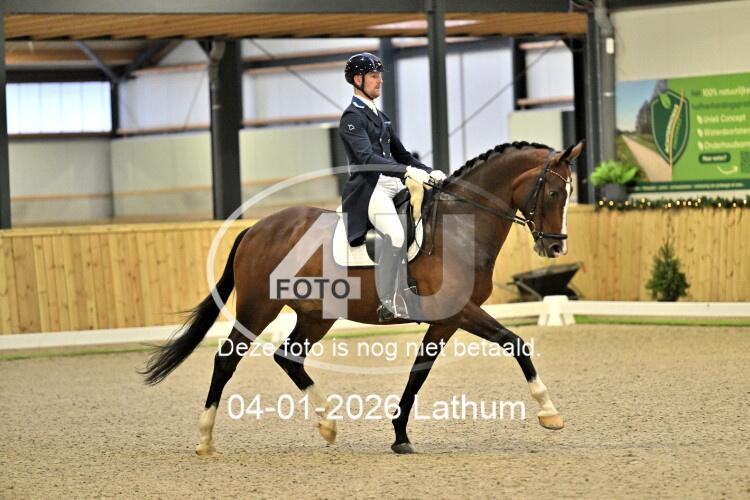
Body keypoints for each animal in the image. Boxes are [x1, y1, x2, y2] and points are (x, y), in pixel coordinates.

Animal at [141, 140, 584, 455]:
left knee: (289, 357)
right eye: (553, 193)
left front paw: (400, 435)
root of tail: (256, 228)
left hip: (316, 315)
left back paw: (327, 424)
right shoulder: (462, 311)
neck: (460, 229)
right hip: (258, 308)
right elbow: (517, 343)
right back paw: (205, 439)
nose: (555, 246)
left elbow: (418, 373)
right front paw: (550, 413)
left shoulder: (446, 320)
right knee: (226, 360)